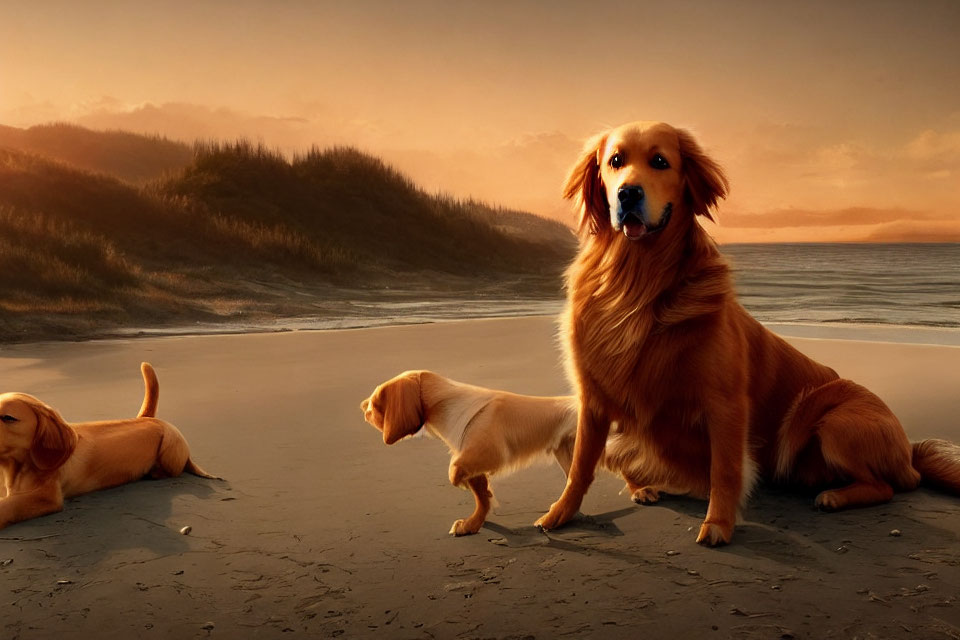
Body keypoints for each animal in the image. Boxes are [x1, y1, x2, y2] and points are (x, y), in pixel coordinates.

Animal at [0, 362, 218, 528]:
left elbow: (8, 506)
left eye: (9, 418)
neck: (17, 467)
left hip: (171, 450)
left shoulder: (46, 497)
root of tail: (150, 419)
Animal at [362, 370, 576, 536]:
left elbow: (454, 471)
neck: (449, 406)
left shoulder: (487, 453)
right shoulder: (472, 461)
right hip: (566, 455)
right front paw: (471, 524)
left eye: (375, 403)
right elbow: (481, 497)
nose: (363, 407)